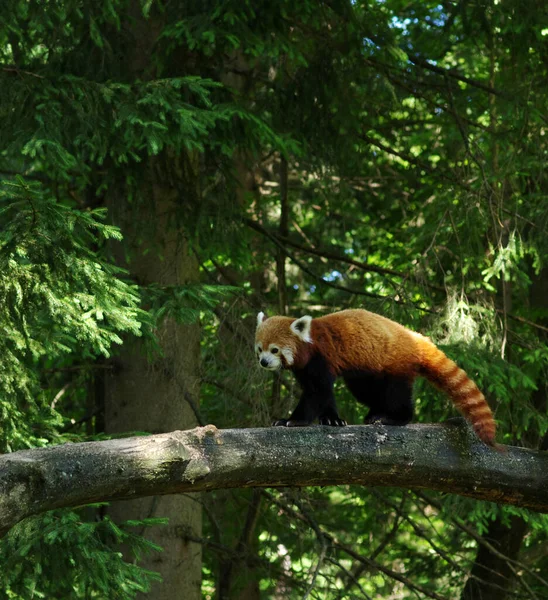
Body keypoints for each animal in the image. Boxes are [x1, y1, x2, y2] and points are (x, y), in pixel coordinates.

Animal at [256, 310, 496, 446]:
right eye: (260, 349)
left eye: (275, 350)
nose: (264, 362)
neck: (309, 342)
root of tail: (415, 338)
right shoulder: (306, 368)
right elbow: (324, 395)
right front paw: (332, 419)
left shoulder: (320, 358)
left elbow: (317, 392)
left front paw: (292, 420)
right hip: (367, 371)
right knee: (366, 392)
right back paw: (376, 413)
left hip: (396, 365)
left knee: (397, 393)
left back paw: (394, 418)